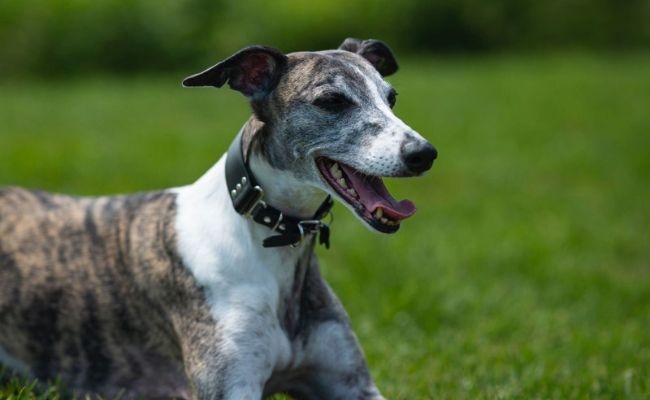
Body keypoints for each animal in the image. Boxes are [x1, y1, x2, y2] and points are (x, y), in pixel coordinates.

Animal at [1, 38, 436, 400]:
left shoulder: (353, 385)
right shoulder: (230, 386)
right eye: (331, 101)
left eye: (391, 98)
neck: (267, 238)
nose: (424, 154)